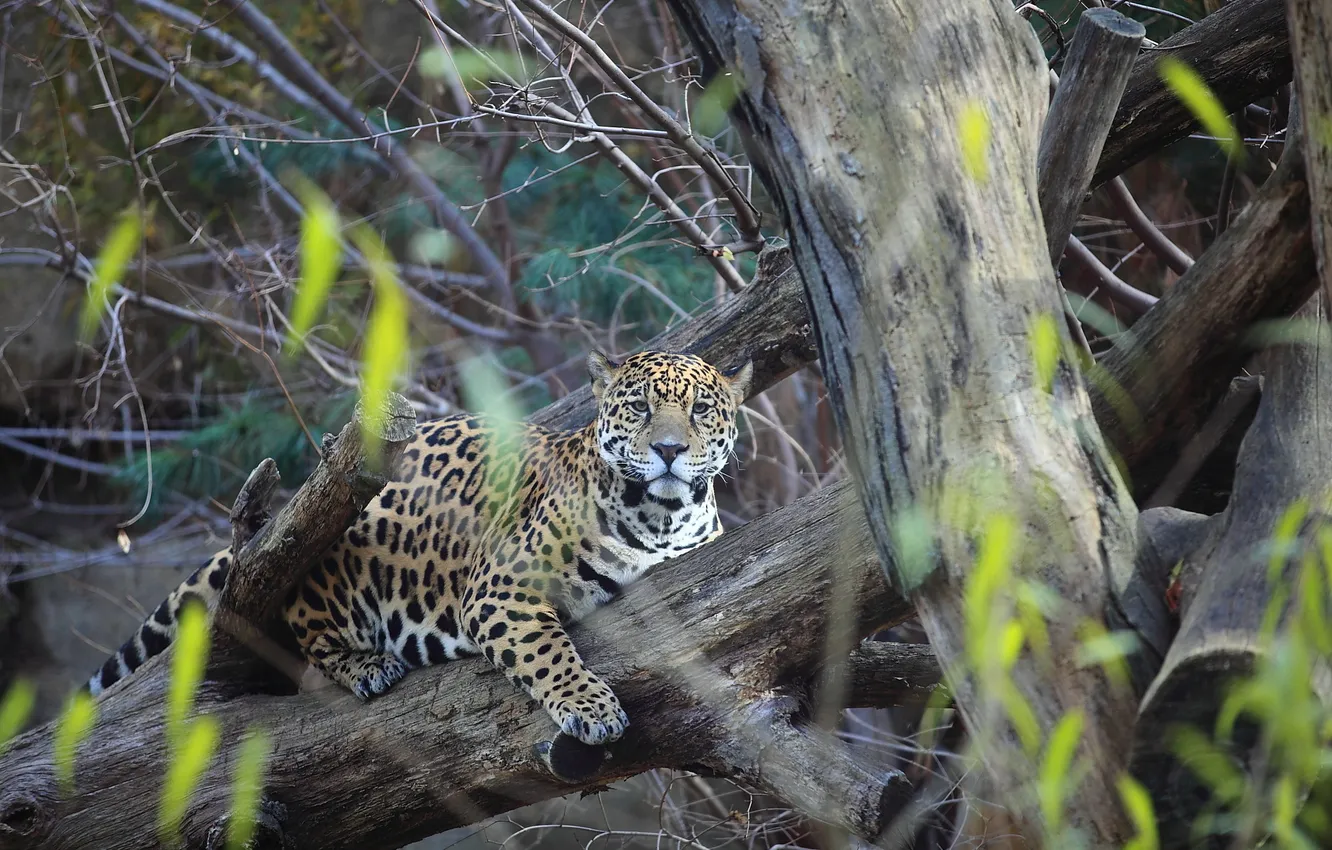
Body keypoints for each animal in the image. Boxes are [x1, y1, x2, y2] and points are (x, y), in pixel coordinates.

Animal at [85, 350, 752, 748]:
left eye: (701, 409)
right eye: (639, 407)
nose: (669, 449)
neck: (662, 514)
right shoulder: (499, 588)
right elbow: (549, 653)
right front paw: (591, 708)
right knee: (309, 638)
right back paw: (369, 666)